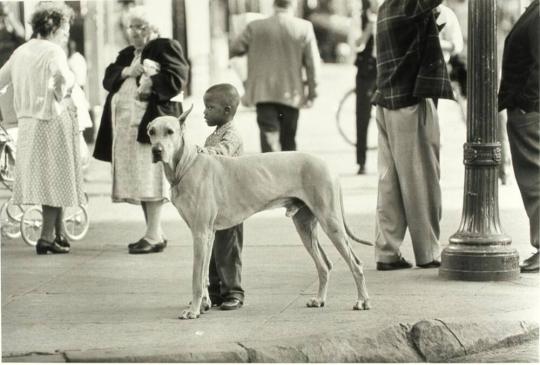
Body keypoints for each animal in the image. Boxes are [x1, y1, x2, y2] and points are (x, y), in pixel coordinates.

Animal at [149, 106, 376, 318]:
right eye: (151, 131)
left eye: (170, 131)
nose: (156, 151)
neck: (186, 164)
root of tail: (327, 165)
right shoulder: (207, 234)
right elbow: (204, 274)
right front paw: (203, 305)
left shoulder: (200, 233)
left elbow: (196, 277)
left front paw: (193, 310)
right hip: (305, 226)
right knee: (324, 265)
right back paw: (319, 299)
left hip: (331, 222)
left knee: (356, 263)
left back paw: (363, 301)